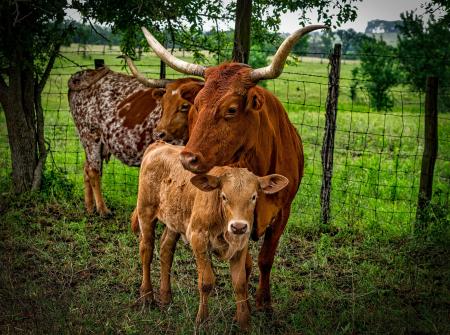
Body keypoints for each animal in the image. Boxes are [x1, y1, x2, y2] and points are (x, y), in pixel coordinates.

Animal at [132, 142, 286, 330]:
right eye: (224, 196)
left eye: (254, 197)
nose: (238, 226)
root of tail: (159, 145)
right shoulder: (199, 239)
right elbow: (206, 282)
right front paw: (202, 320)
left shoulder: (241, 245)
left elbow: (240, 283)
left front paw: (244, 323)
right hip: (145, 212)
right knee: (146, 251)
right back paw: (147, 296)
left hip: (174, 221)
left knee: (166, 250)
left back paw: (166, 297)